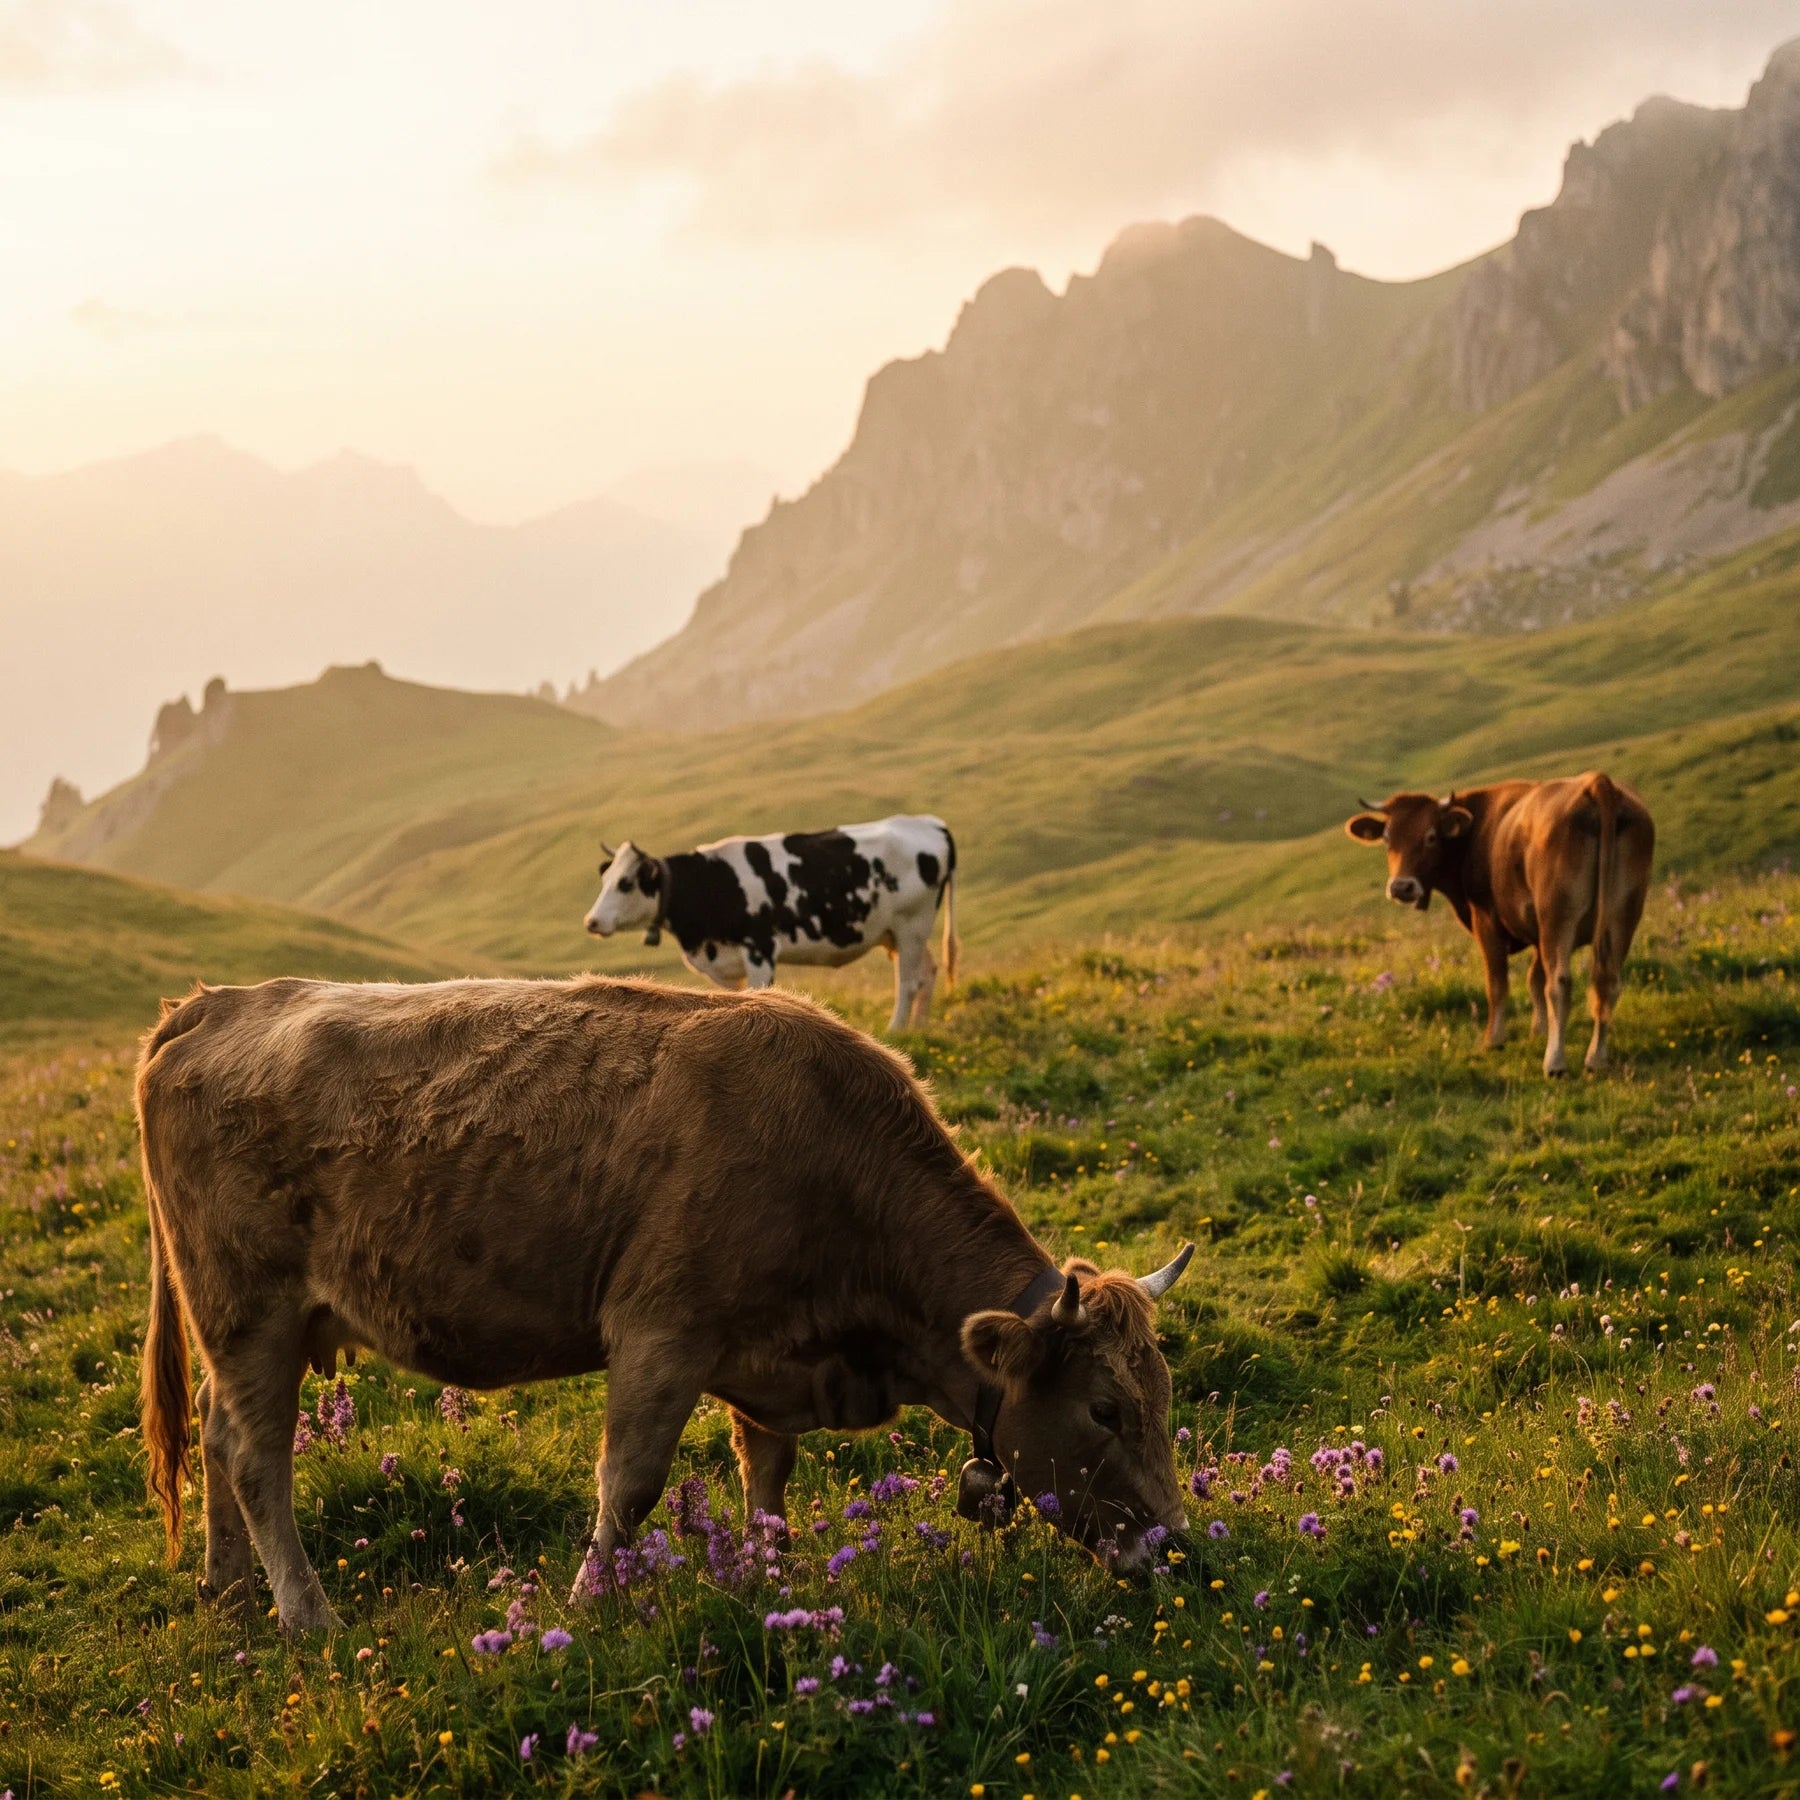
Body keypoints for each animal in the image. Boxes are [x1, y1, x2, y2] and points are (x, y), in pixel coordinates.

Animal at [137, 975, 1194, 1633]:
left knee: (214, 1430)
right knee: (254, 1456)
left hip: (238, 1327)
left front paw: (776, 1584)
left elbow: (768, 1485)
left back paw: (228, 1590)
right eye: (1105, 1410)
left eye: (1166, 1396)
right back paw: (307, 1614)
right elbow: (631, 1484)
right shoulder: (660, 1331)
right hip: (249, 1309)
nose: (1181, 1551)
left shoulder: (768, 1364)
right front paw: (587, 1607)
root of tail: (215, 1004)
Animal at [584, 815, 958, 1033]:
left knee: (908, 981)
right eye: (605, 879)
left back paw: (896, 1031)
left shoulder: (760, 948)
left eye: (625, 884)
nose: (592, 921)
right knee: (928, 971)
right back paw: (919, 1028)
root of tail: (929, 823)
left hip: (912, 923)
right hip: (894, 932)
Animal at [1344, 772, 1654, 1077]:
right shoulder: (1536, 930)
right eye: (1387, 838)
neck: (1478, 828)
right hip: (1621, 915)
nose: (1402, 887)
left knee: (1560, 983)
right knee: (1607, 981)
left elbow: (1497, 983)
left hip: (1558, 915)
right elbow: (1533, 978)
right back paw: (1596, 1059)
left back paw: (1555, 1062)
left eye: (1430, 836)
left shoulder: (1487, 919)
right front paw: (1539, 1030)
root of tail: (1597, 782)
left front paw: (1493, 1040)